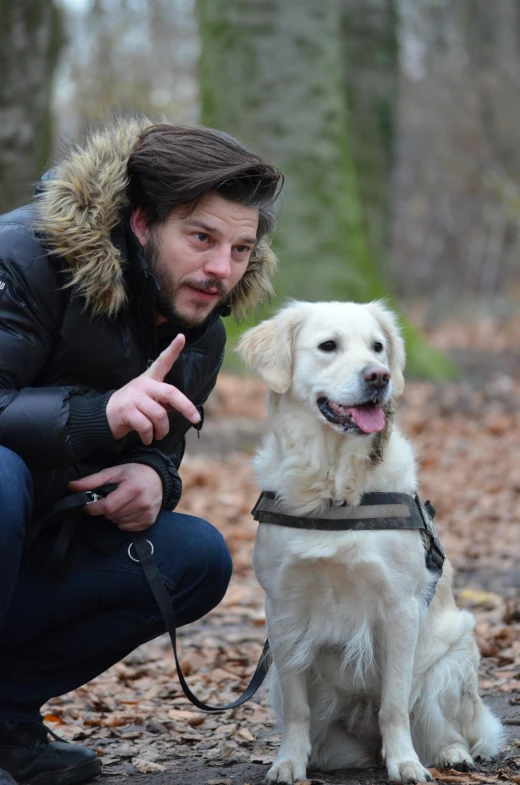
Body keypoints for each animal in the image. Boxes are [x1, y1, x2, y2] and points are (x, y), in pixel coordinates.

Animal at [239, 302, 504, 784]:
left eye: (378, 347)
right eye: (328, 345)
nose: (378, 376)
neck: (333, 489)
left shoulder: (399, 608)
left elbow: (394, 705)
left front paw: (404, 763)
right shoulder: (283, 612)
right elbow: (299, 710)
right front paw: (288, 762)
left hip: (450, 661)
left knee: (449, 728)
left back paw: (452, 754)